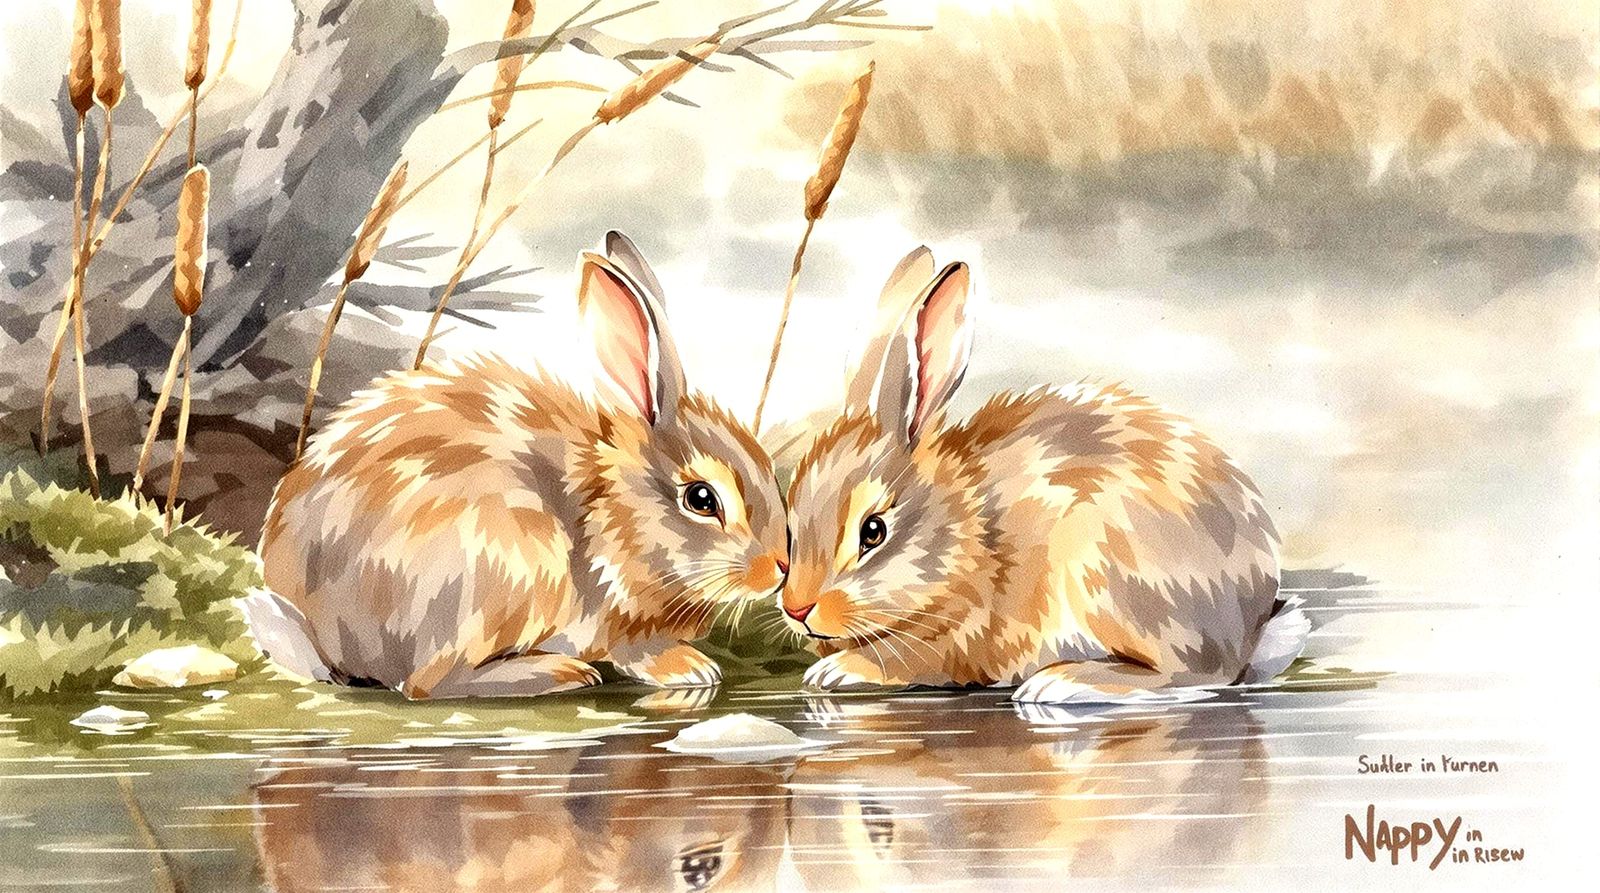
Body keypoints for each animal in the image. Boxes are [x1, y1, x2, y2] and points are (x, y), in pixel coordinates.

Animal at [256, 232, 789, 699]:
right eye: (701, 499)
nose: (779, 569)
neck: (609, 507)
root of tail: (323, 637)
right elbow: (634, 651)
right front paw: (690, 667)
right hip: (499, 570)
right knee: (427, 684)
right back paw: (560, 673)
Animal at [779, 249, 1300, 704]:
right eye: (791, 529)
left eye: (873, 531)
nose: (797, 609)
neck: (964, 526)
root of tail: (1251, 628)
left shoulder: (961, 633)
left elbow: (906, 660)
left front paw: (835, 669)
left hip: (1107, 571)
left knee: (1195, 673)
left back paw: (1061, 682)